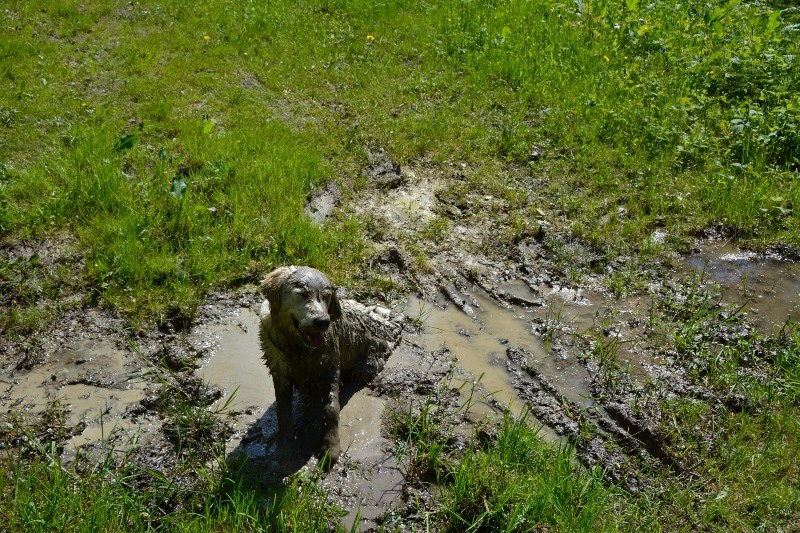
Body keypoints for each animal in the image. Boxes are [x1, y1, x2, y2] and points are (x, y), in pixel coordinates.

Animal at [260, 266, 400, 466]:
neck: (299, 348)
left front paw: (330, 446)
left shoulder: (331, 366)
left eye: (326, 297)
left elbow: (331, 407)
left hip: (366, 365)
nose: (322, 321)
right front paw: (284, 447)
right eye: (302, 294)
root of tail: (385, 325)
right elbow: (283, 413)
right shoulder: (280, 372)